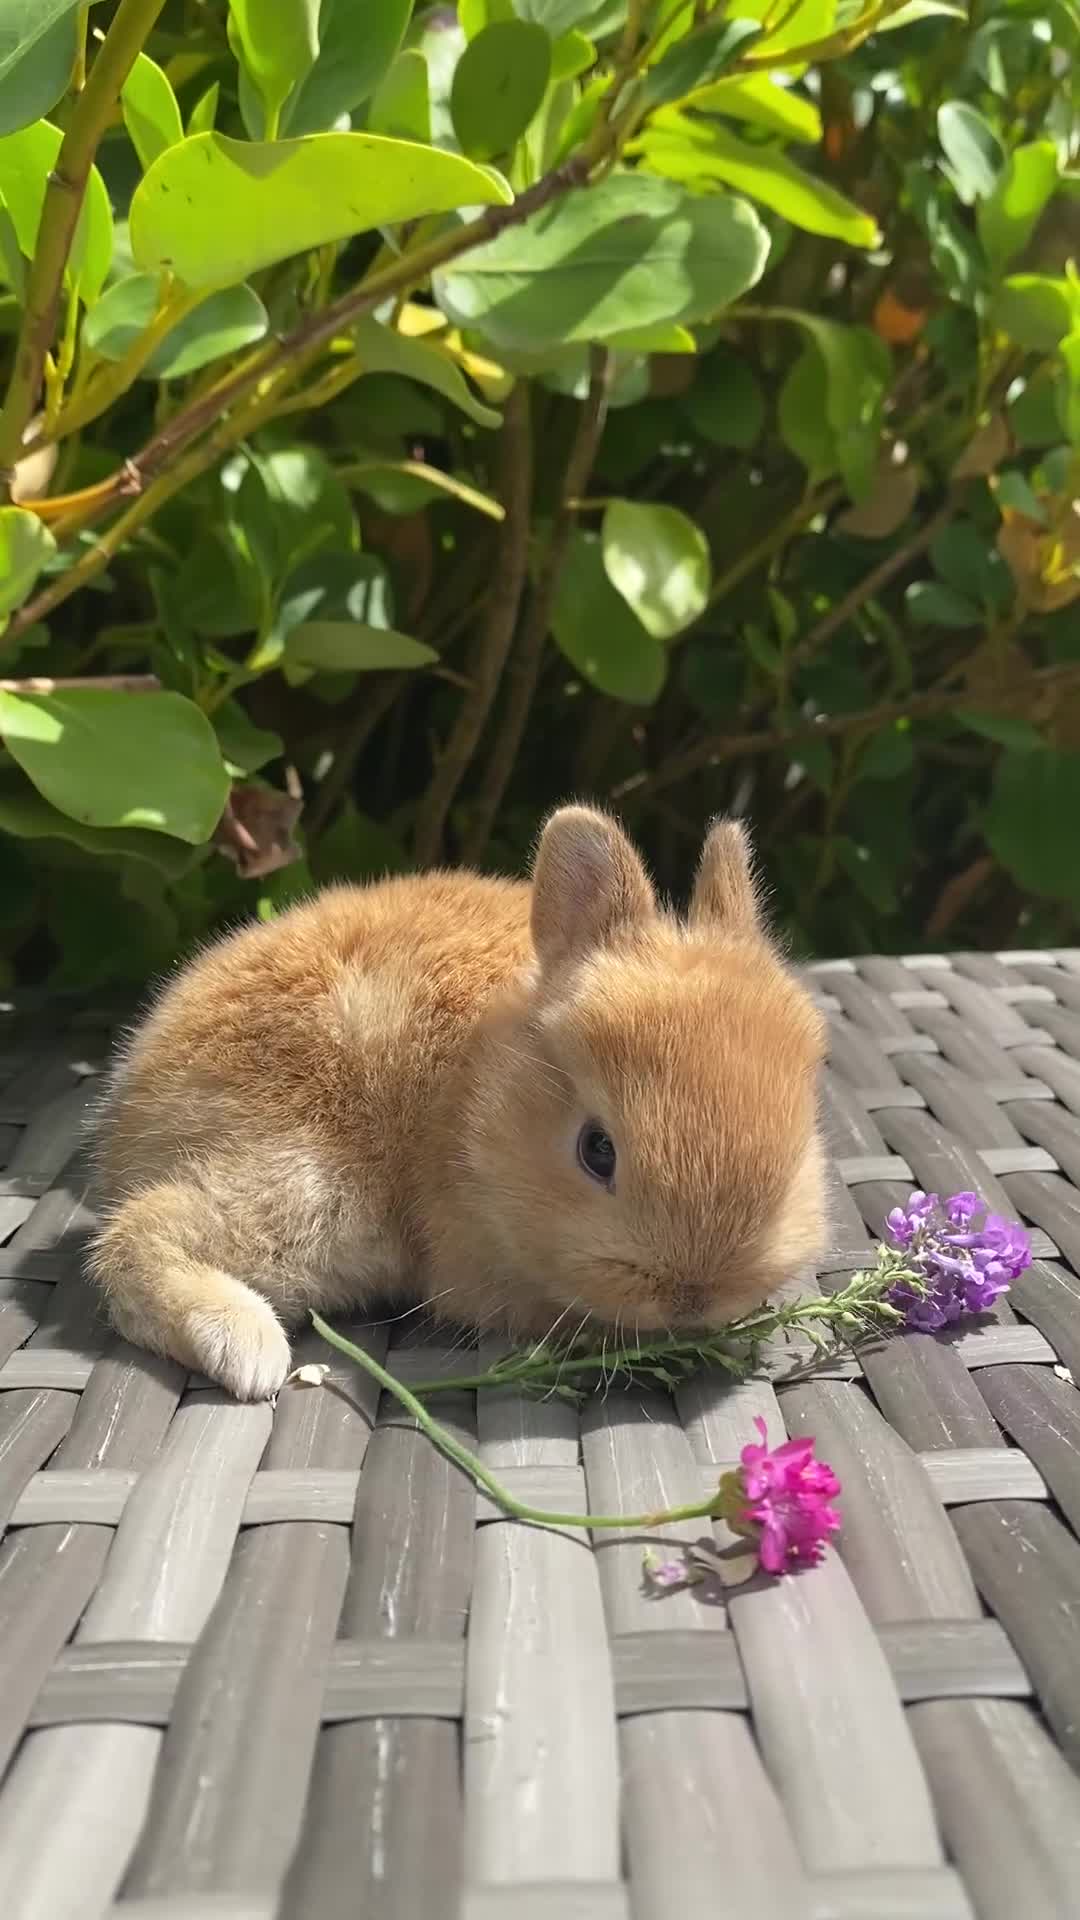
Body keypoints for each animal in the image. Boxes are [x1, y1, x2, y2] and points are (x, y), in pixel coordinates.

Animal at [87, 805, 828, 1401]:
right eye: (597, 1151)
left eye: (799, 1151)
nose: (691, 1296)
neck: (477, 1093)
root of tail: (135, 1090)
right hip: (310, 1189)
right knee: (137, 1234)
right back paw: (248, 1350)